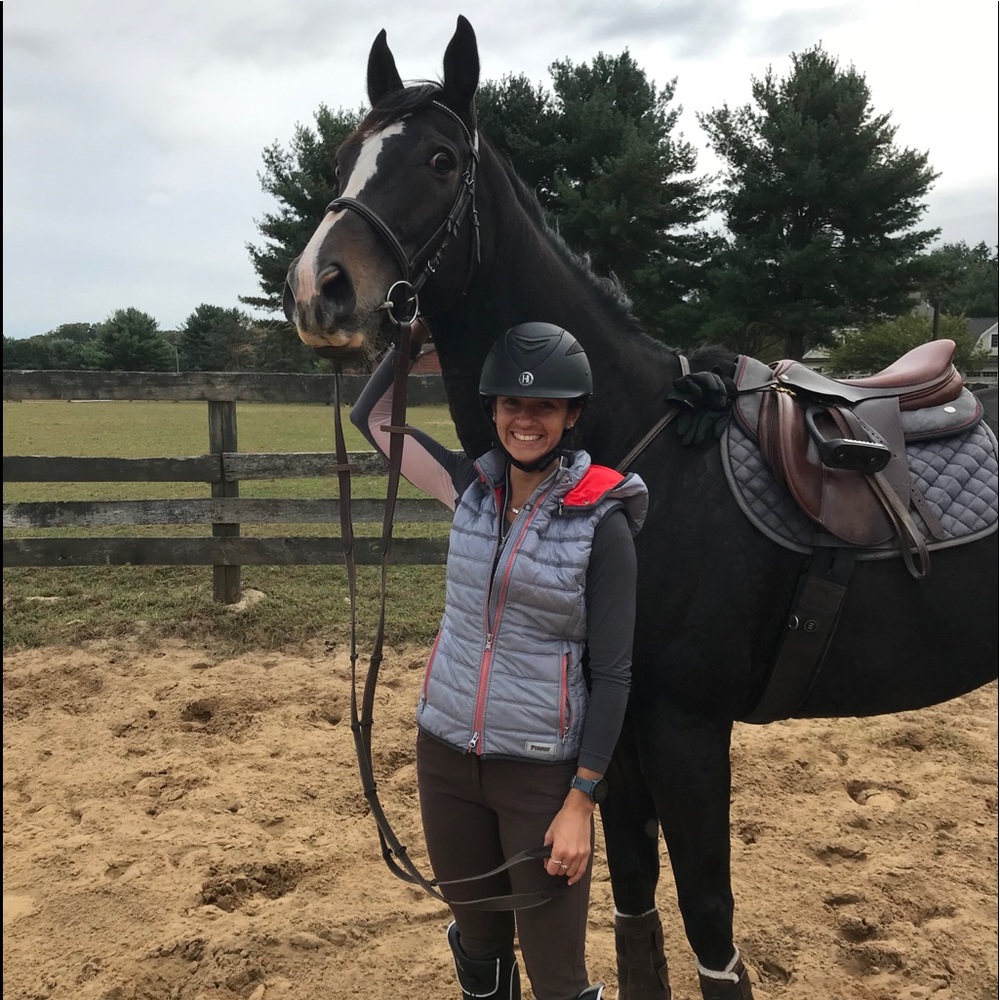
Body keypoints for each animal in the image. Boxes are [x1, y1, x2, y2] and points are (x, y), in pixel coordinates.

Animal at [282, 16, 998, 999]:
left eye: (438, 159)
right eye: (342, 157)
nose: (320, 289)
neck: (637, 448)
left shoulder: (686, 731)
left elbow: (710, 927)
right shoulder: (613, 737)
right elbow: (633, 913)